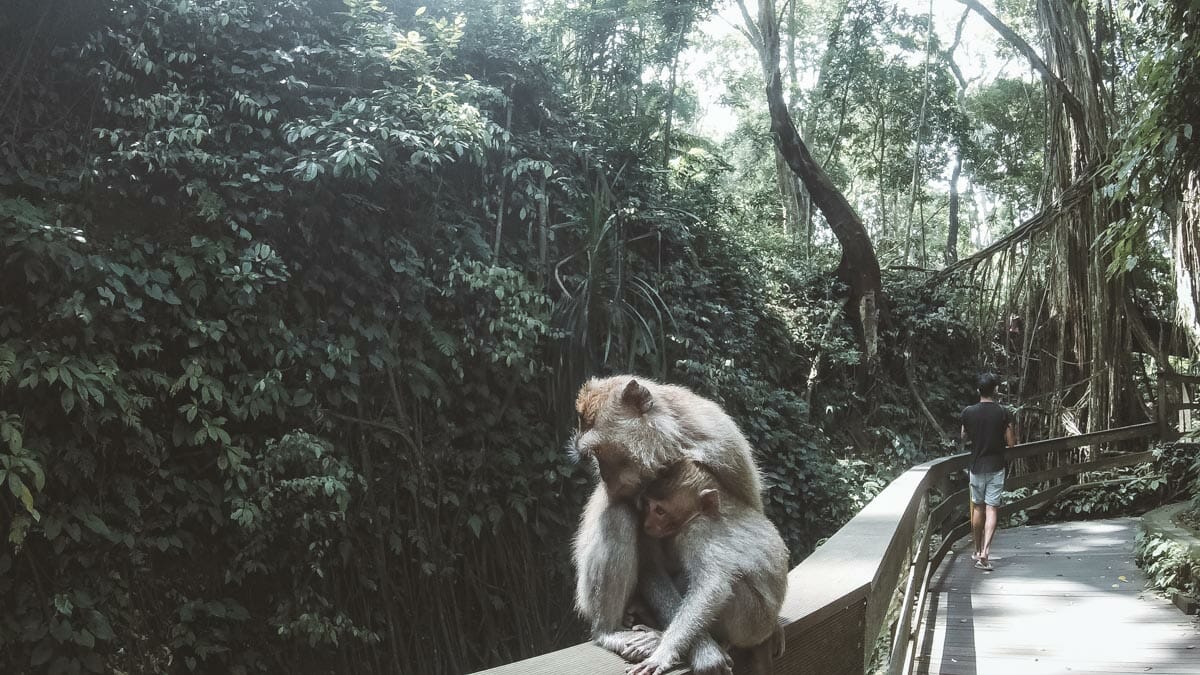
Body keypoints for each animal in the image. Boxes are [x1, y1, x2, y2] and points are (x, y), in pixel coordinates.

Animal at [571, 376, 765, 672]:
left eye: (601, 452)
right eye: (594, 456)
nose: (604, 476)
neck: (670, 449)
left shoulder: (726, 449)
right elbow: (650, 566)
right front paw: (705, 651)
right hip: (585, 596)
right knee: (618, 514)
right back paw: (608, 631)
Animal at [627, 459, 789, 675]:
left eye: (660, 511)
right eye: (647, 505)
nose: (647, 523)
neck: (701, 513)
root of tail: (766, 630)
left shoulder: (697, 532)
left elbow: (712, 587)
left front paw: (663, 652)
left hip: (751, 625)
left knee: (732, 585)